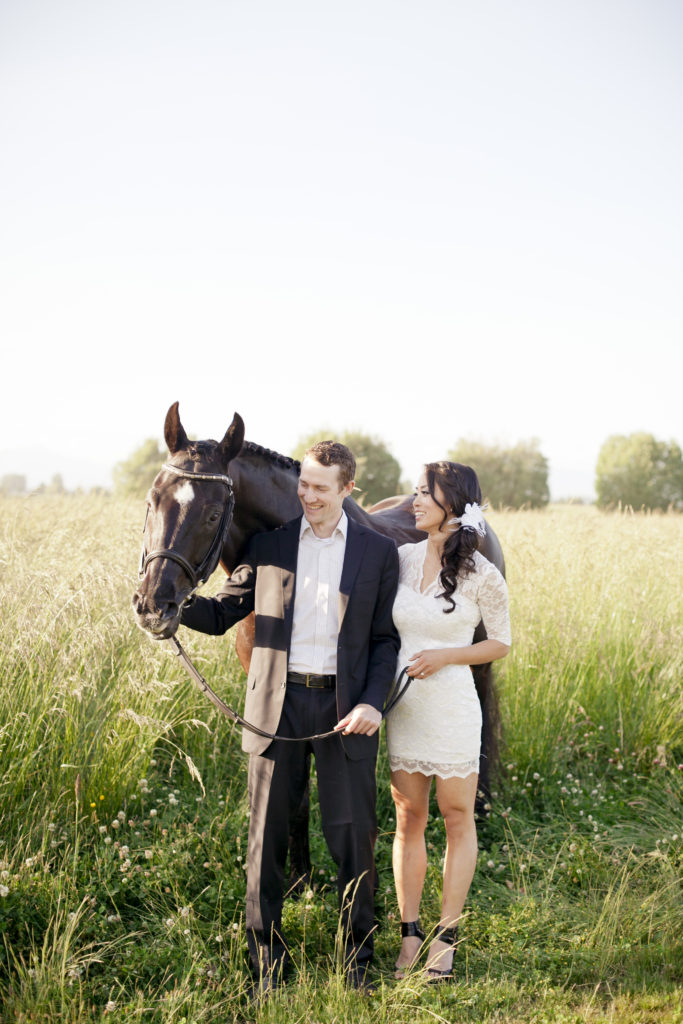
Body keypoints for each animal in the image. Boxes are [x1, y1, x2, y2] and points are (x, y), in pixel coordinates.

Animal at [135, 403, 507, 884]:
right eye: (151, 501)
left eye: (215, 514)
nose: (153, 607)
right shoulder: (273, 703)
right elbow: (292, 791)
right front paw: (299, 875)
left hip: (477, 664)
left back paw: (479, 807)